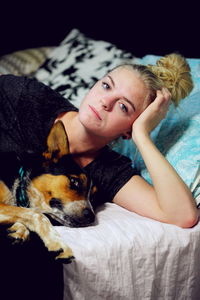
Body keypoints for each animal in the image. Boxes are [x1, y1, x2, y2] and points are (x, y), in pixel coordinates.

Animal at [0, 120, 95, 262]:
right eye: (74, 181)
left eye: (93, 196)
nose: (92, 217)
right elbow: (38, 215)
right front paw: (57, 243)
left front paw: (20, 230)